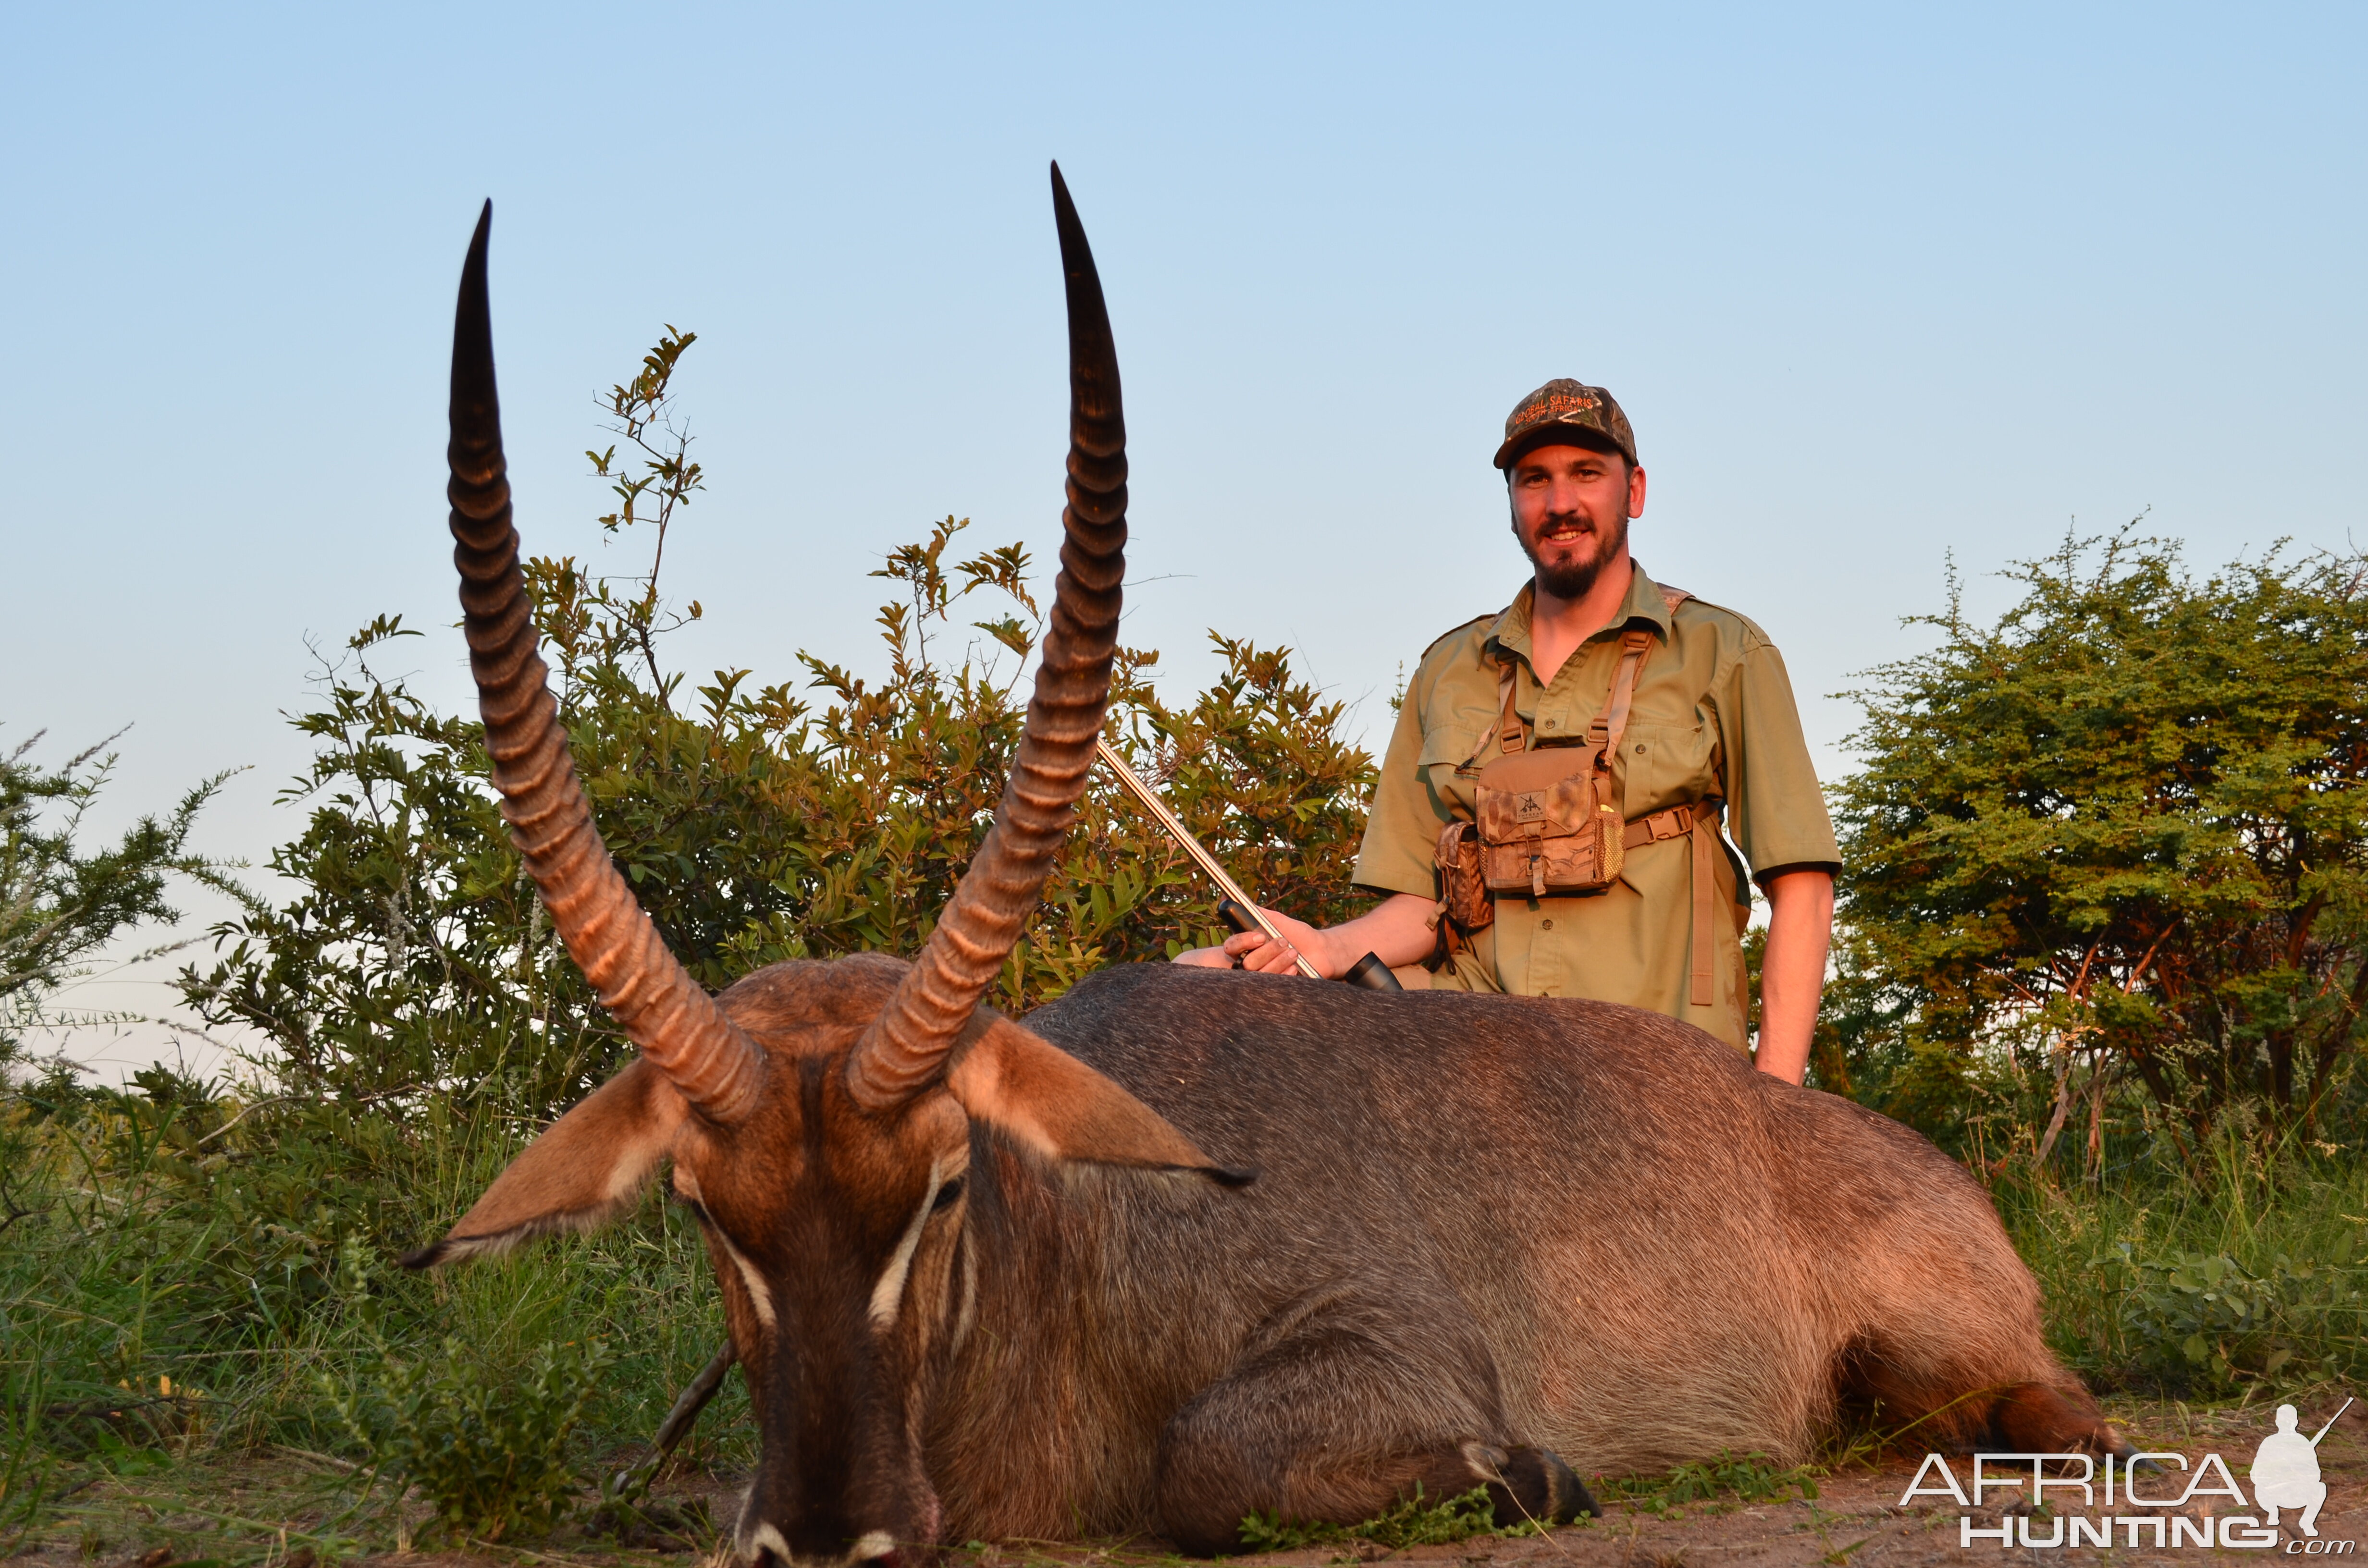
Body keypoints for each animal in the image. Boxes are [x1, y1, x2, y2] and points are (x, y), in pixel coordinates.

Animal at [407, 172, 2131, 1568]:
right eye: (703, 1209)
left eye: (946, 1182)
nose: (835, 1540)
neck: (1070, 1244)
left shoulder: (1392, 1342)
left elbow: (1205, 1466)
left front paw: (1536, 1477)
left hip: (1955, 1346)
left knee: (2042, 1406)